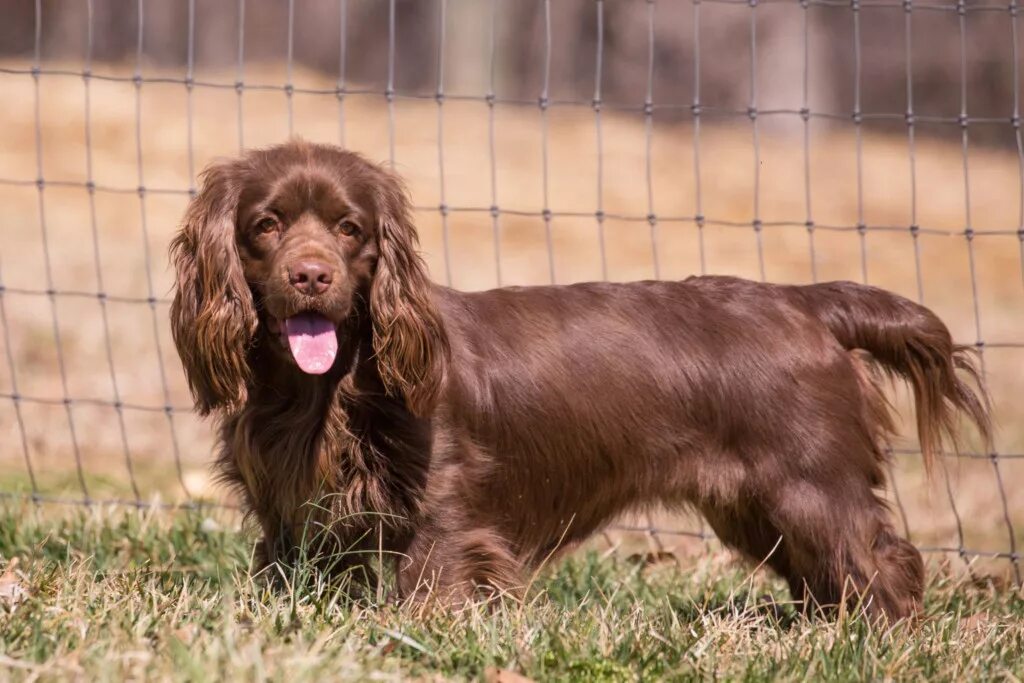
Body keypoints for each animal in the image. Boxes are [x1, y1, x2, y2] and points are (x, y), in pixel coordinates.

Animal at [172, 139, 987, 618]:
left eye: (350, 229)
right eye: (267, 224)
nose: (311, 275)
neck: (326, 390)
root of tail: (804, 300)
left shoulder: (441, 511)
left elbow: (429, 592)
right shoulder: (288, 512)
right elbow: (286, 578)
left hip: (811, 483)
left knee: (884, 562)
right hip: (756, 505)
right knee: (830, 574)